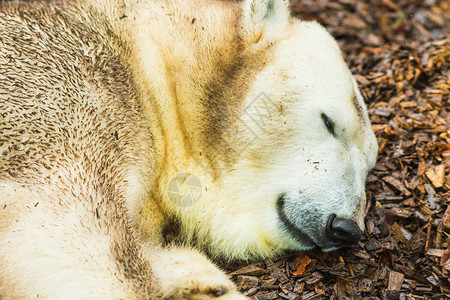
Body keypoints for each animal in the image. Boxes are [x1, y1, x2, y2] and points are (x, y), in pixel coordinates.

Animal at [0, 0, 378, 298]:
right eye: (329, 122)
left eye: (369, 164)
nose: (347, 228)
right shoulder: (67, 97)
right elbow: (68, 231)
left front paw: (202, 283)